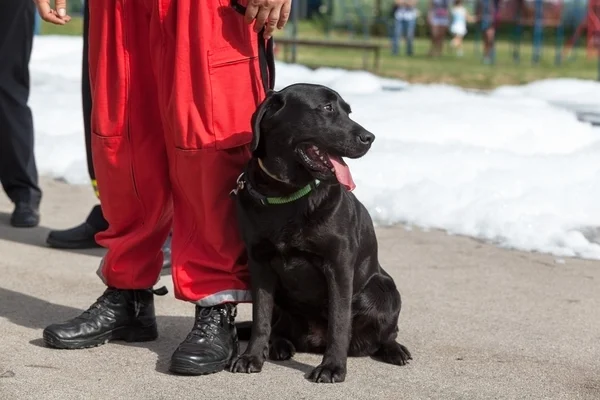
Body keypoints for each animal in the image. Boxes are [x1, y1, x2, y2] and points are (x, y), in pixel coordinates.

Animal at [230, 83, 412, 382]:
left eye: (348, 111)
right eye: (327, 108)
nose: (369, 137)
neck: (288, 195)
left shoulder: (338, 265)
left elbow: (339, 322)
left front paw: (333, 367)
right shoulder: (259, 264)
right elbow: (261, 317)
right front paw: (252, 357)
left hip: (384, 289)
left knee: (386, 333)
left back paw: (394, 350)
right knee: (278, 325)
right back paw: (279, 345)